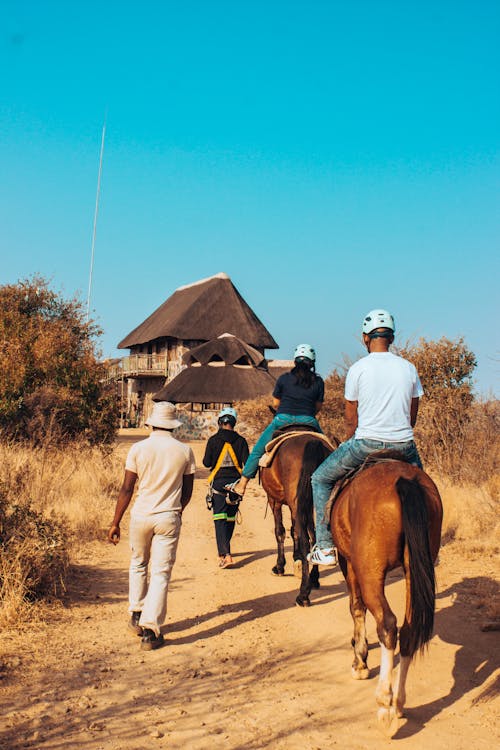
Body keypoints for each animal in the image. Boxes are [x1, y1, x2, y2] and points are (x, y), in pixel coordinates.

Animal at [260, 428, 334, 612]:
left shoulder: (275, 500)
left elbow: (280, 531)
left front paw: (280, 566)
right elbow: (296, 531)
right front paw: (297, 559)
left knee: (305, 540)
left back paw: (303, 595)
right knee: (314, 537)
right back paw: (314, 579)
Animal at [330, 458, 444, 736]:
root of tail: (405, 481)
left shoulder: (349, 564)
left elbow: (356, 607)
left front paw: (359, 662)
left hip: (370, 572)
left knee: (388, 625)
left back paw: (384, 703)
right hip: (414, 569)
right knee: (409, 630)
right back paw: (399, 702)